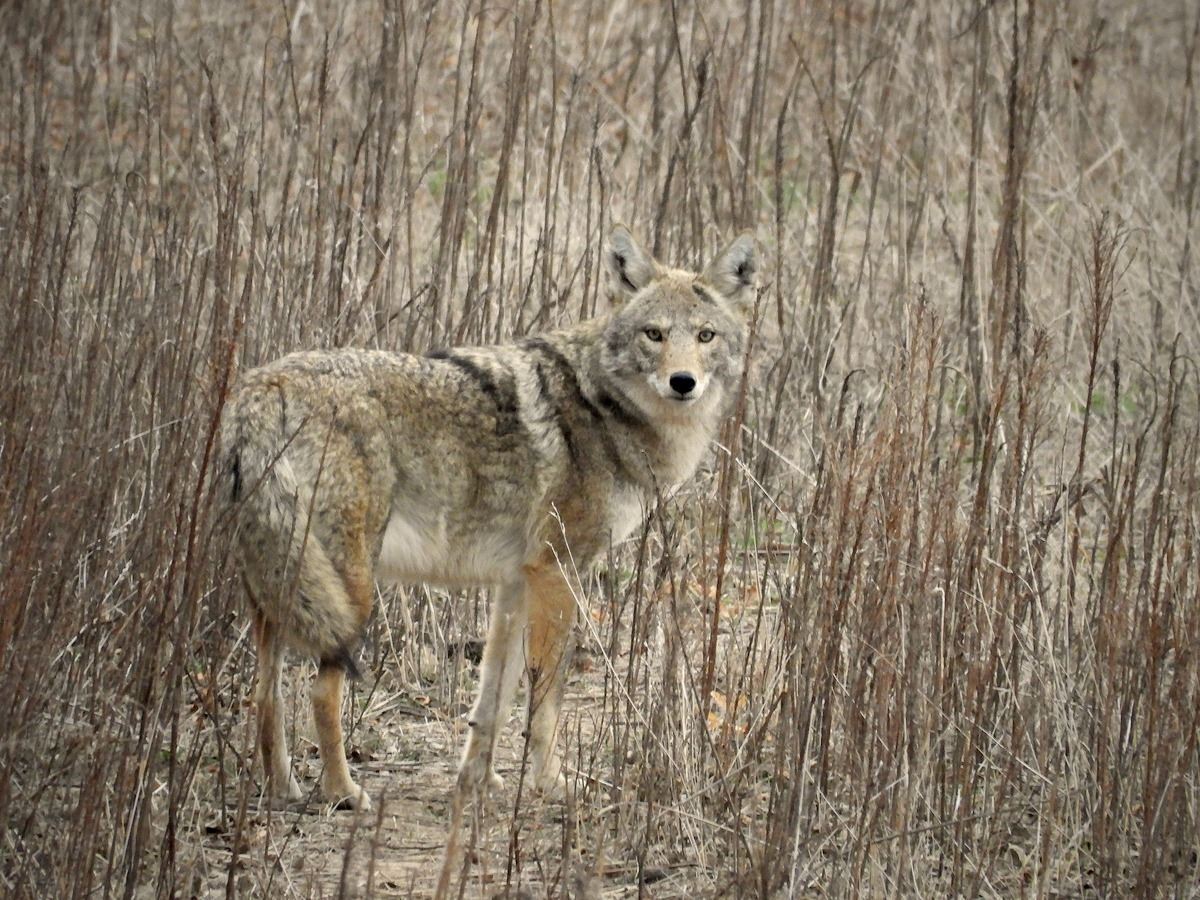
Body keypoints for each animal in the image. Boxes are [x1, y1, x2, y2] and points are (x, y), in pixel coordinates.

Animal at [220, 225, 757, 810]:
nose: (683, 382)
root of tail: (264, 388)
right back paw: (344, 794)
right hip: (349, 593)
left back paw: (282, 790)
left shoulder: (515, 584)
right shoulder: (558, 572)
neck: (604, 406)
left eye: (705, 336)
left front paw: (479, 782)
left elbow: (493, 698)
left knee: (265, 694)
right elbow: (545, 698)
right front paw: (549, 783)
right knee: (320, 690)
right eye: (654, 334)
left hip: (279, 594)